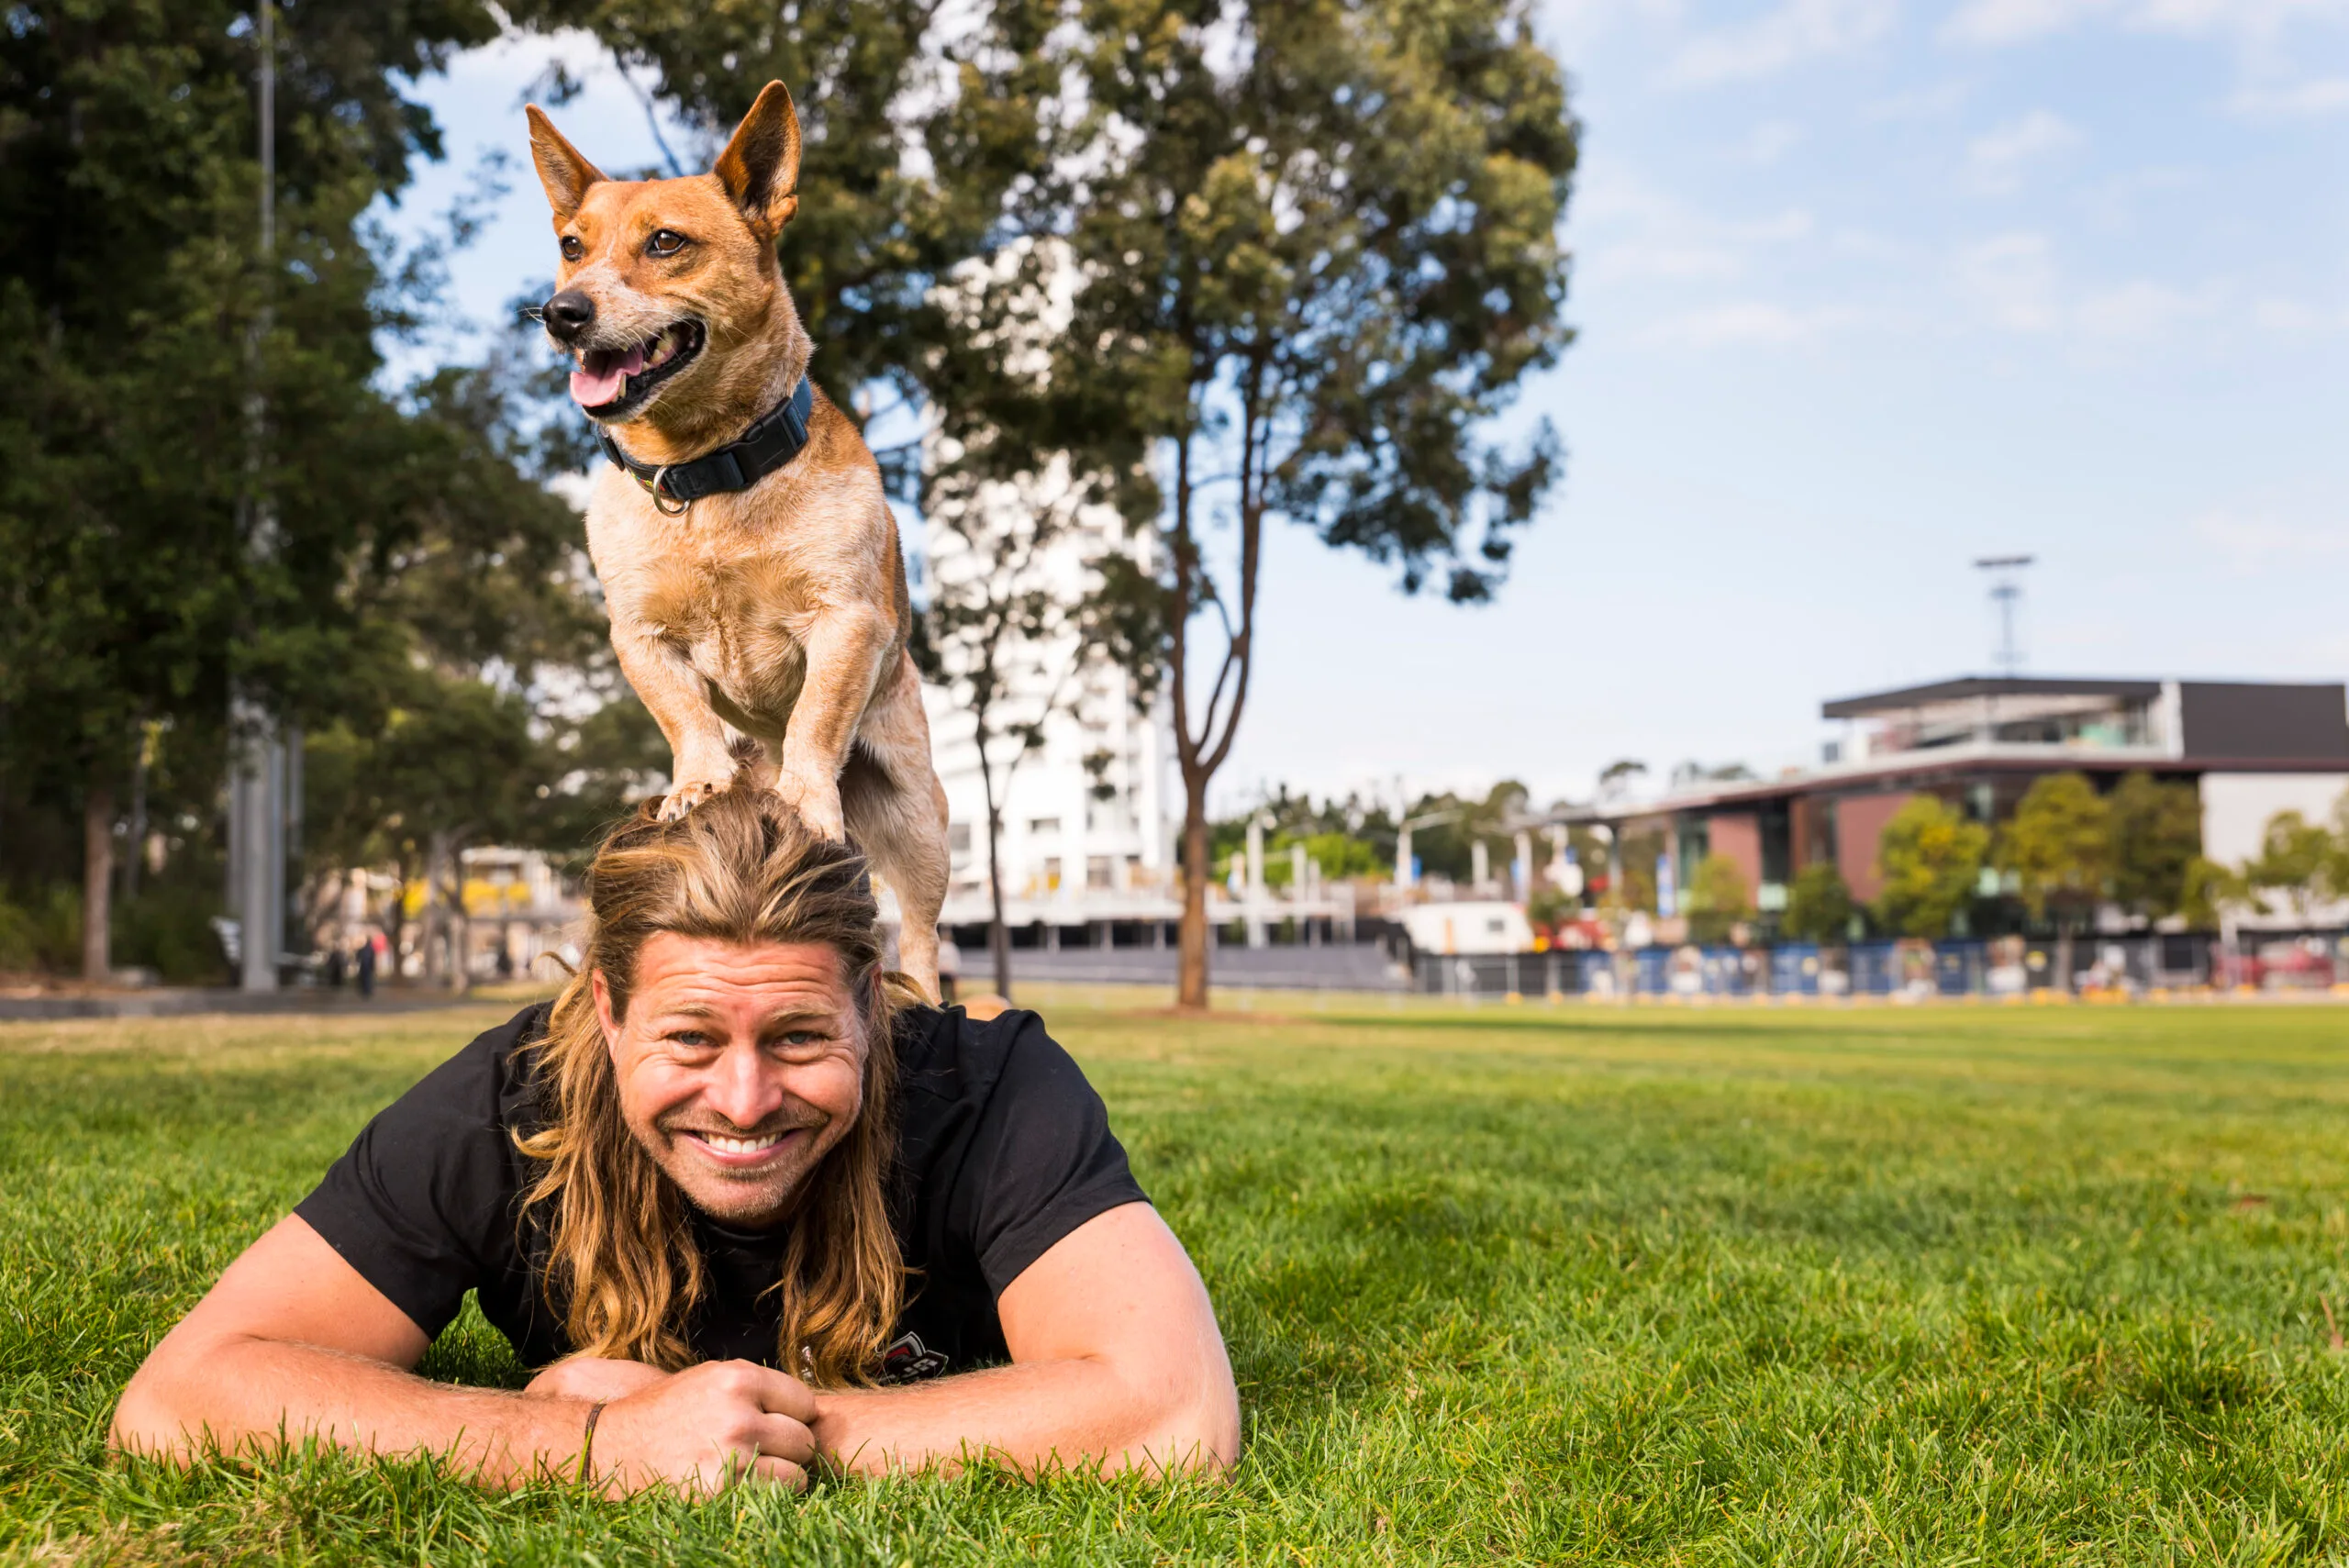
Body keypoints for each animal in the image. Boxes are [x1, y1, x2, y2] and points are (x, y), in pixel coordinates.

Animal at [523, 79, 944, 990]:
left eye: (666, 242)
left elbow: (816, 717)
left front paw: (808, 795)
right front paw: (699, 782)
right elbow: (685, 715)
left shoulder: (847, 620)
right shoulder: (639, 635)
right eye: (572, 246)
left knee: (924, 939)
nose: (562, 313)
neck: (707, 472)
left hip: (920, 821)